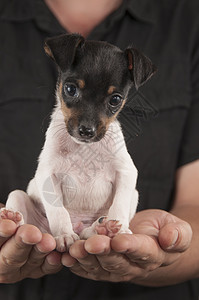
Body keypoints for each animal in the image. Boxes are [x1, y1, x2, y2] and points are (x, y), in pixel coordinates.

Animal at [0, 34, 155, 252]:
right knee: (21, 208)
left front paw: (121, 229)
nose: (87, 131)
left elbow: (119, 205)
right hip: (19, 196)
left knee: (87, 232)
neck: (84, 148)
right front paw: (64, 235)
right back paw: (13, 218)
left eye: (115, 99)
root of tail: (79, 225)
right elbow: (58, 211)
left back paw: (101, 229)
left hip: (134, 195)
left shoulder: (126, 173)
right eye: (70, 89)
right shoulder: (48, 174)